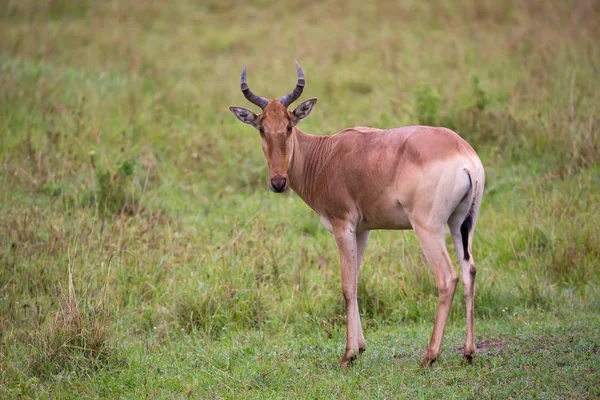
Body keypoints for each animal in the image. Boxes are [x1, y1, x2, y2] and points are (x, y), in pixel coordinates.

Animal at [227, 61, 486, 366]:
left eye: (289, 126)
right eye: (261, 128)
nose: (278, 182)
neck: (326, 153)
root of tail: (465, 156)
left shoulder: (343, 226)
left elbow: (346, 284)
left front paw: (348, 354)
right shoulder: (363, 230)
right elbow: (357, 280)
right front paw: (360, 347)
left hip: (428, 227)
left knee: (447, 278)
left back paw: (430, 356)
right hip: (461, 224)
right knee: (469, 270)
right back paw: (468, 352)